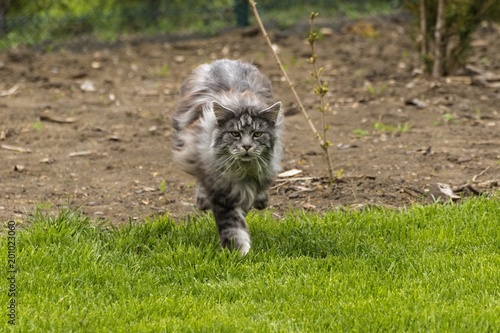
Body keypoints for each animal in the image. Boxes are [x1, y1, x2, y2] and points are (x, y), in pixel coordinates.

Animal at [172, 59, 284, 254]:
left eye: (257, 134)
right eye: (235, 134)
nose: (246, 146)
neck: (243, 171)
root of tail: (223, 61)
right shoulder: (222, 192)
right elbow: (233, 226)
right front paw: (239, 252)